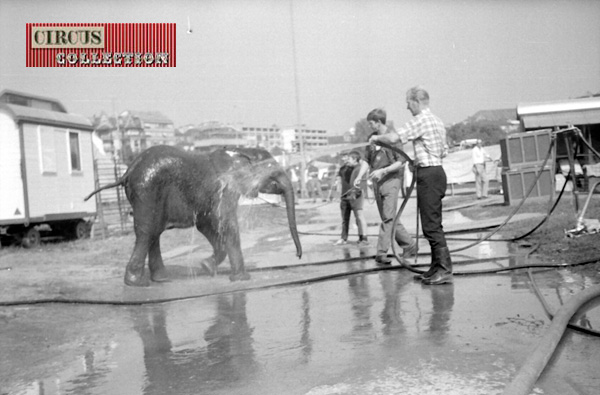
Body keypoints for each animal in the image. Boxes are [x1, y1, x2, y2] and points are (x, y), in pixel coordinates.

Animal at [85, 145, 300, 288]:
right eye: (272, 172)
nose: (298, 256)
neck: (241, 150)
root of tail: (128, 171)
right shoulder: (226, 188)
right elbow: (226, 223)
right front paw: (241, 279)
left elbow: (207, 225)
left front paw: (206, 268)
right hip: (148, 190)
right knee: (147, 232)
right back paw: (137, 284)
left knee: (153, 232)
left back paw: (161, 279)